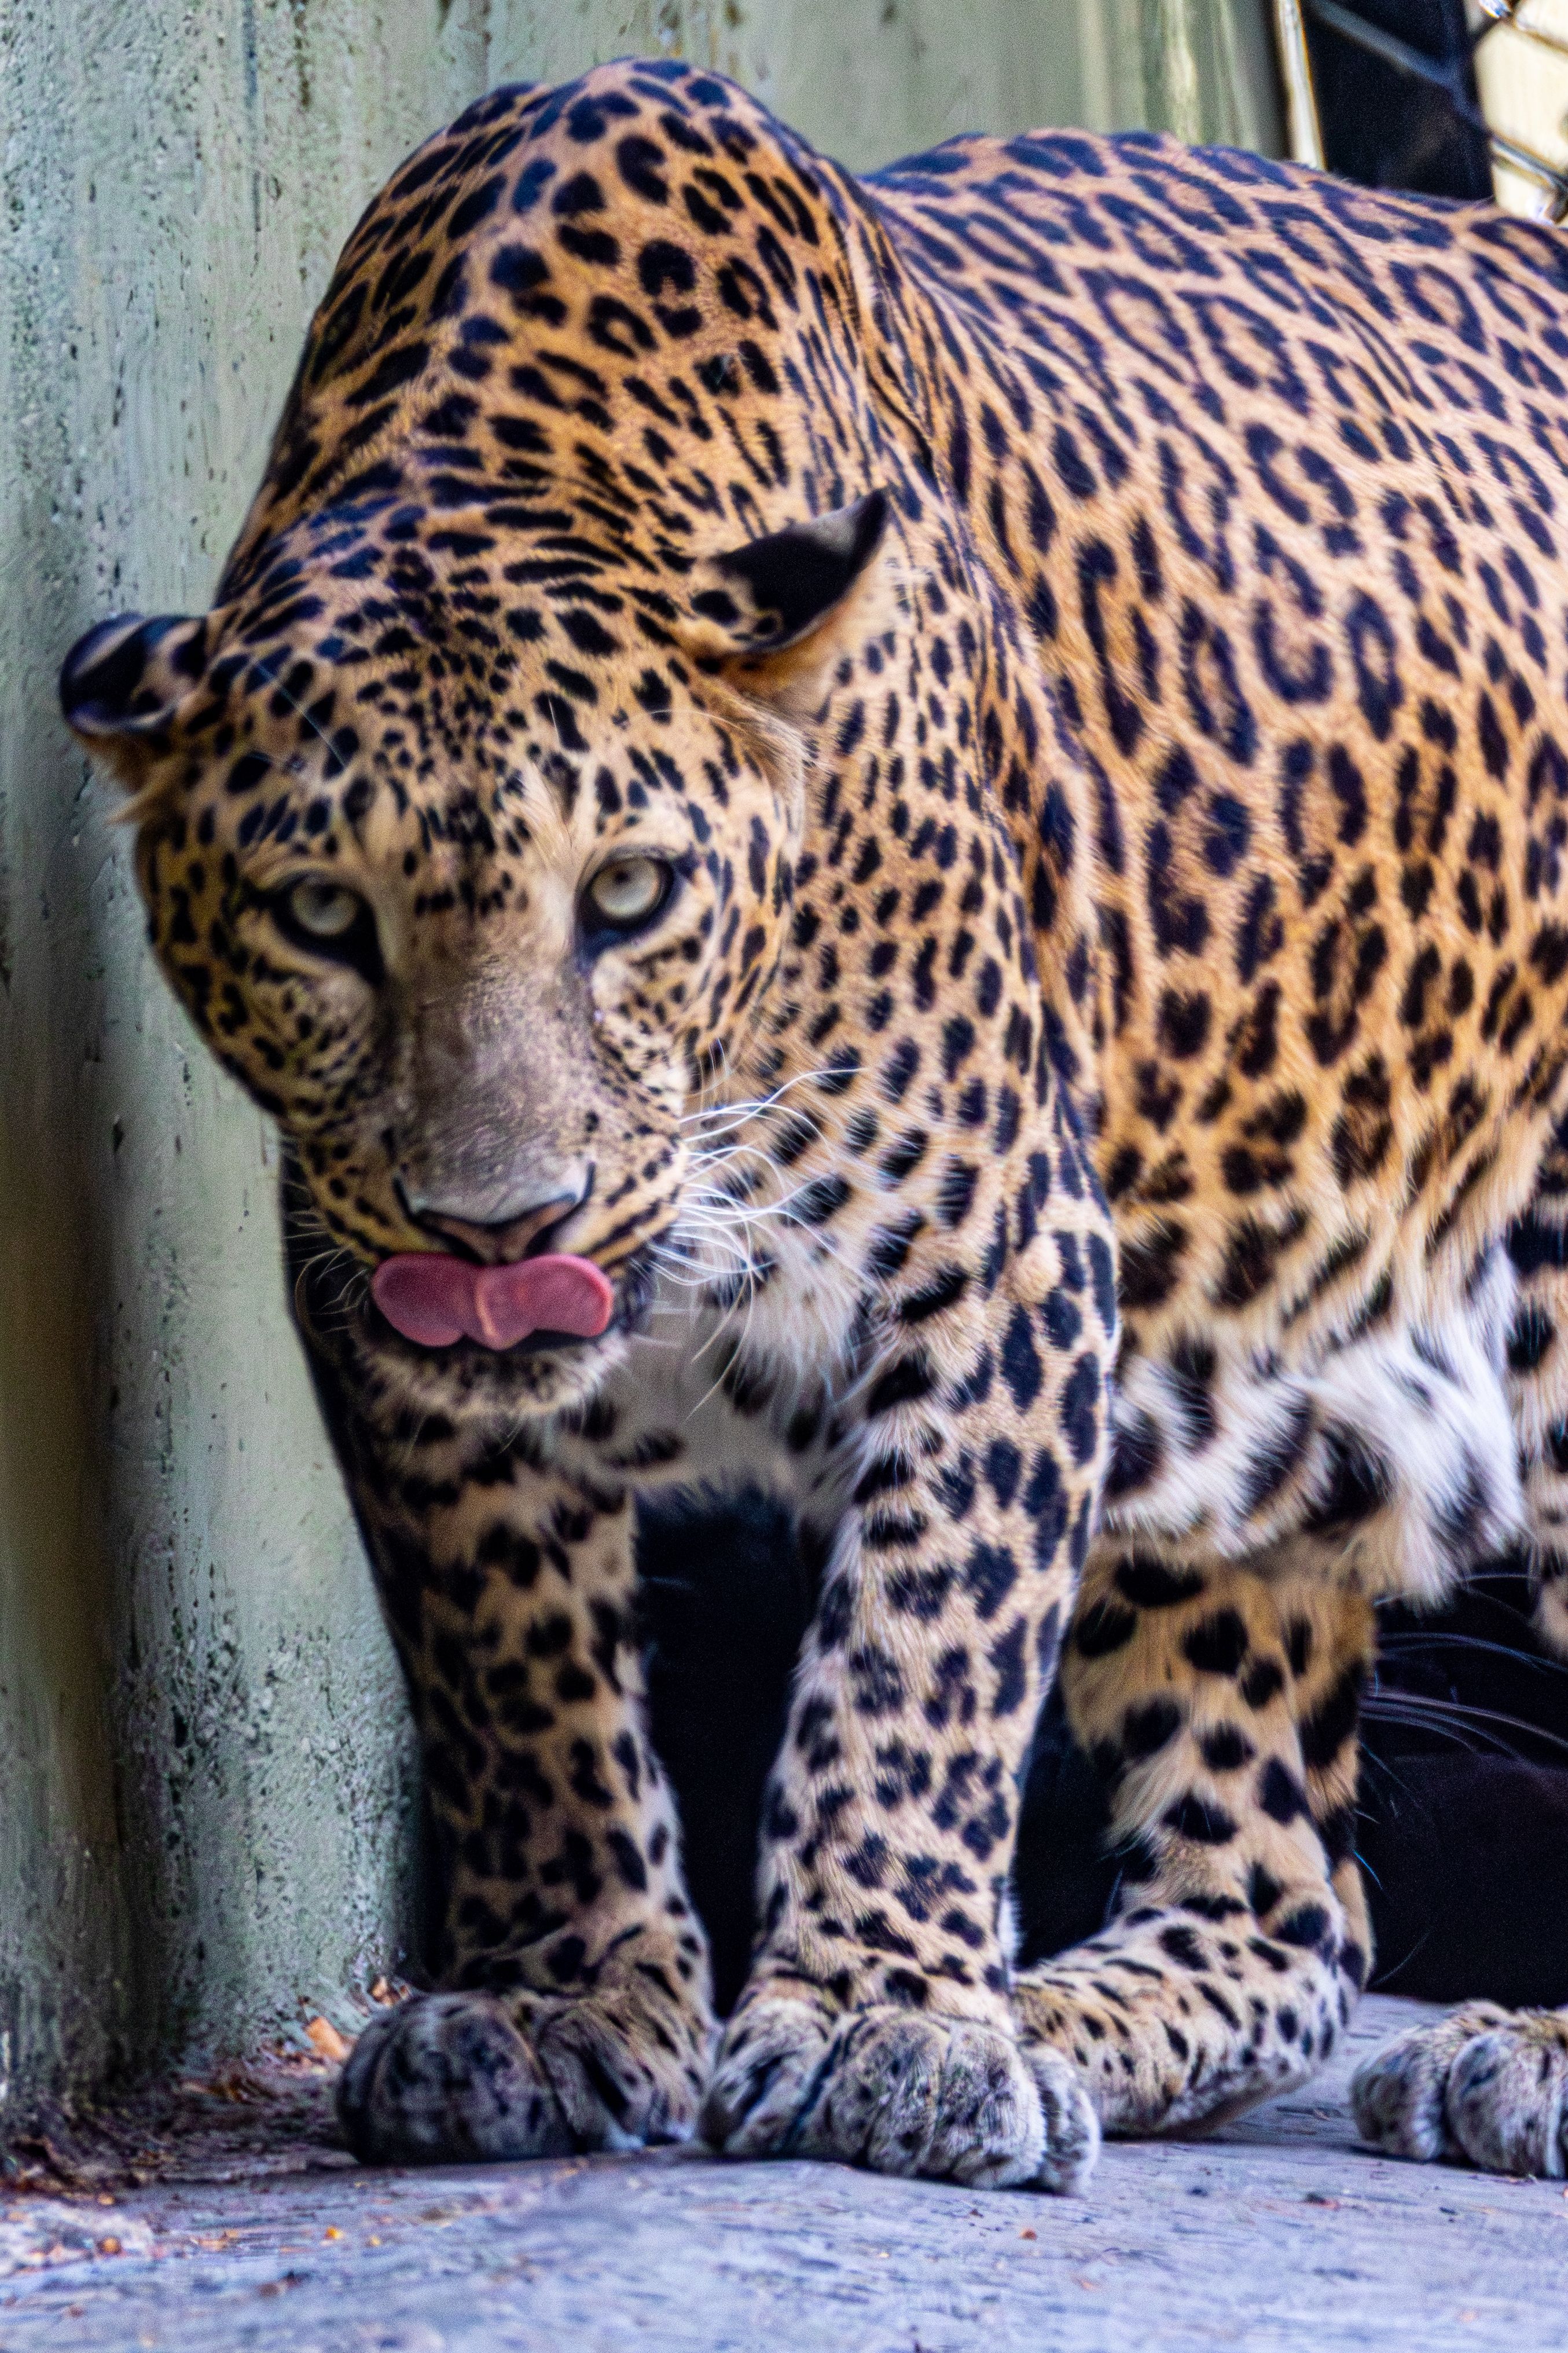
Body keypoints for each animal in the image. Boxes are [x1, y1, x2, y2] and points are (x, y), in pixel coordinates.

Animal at [59, 57, 1568, 2191]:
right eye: (321, 917)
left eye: (627, 894)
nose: (500, 1229)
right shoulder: (371, 1306)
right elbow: (513, 1669)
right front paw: (557, 1997)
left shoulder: (1003, 1261)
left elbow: (917, 1648)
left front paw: (879, 2017)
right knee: (1285, 1911)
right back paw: (1077, 2013)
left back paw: (1488, 2053)